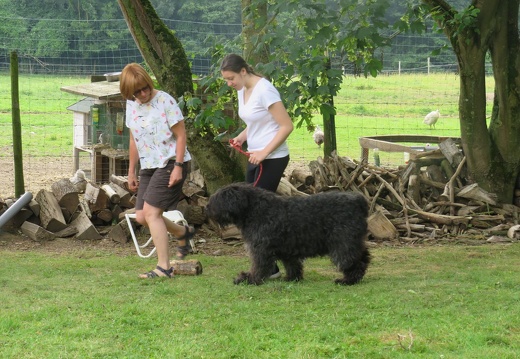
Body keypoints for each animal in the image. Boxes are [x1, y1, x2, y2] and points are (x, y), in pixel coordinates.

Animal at [205, 184, 372, 286]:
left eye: (218, 198)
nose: (206, 207)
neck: (254, 210)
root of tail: (358, 200)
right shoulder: (287, 249)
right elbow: (292, 265)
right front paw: (292, 278)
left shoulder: (260, 249)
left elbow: (258, 266)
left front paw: (249, 279)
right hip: (353, 241)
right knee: (363, 257)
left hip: (343, 244)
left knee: (351, 262)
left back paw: (348, 280)